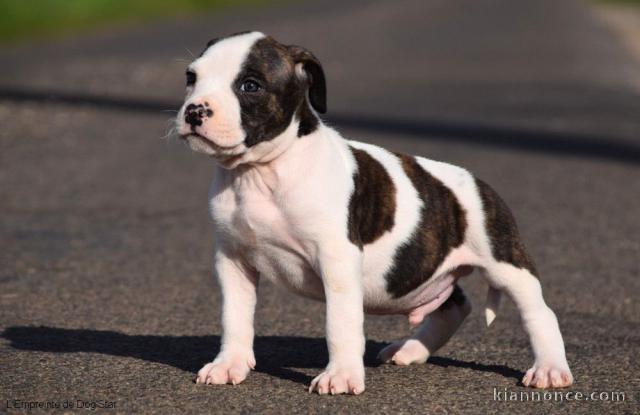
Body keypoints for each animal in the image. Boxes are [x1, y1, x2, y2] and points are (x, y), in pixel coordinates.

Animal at [175, 30, 576, 394]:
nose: (194, 110)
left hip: (506, 263)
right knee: (455, 306)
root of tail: (479, 183)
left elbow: (340, 324)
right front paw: (229, 364)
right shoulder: (233, 260)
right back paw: (411, 350)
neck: (261, 172)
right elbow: (235, 317)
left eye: (250, 85)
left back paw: (550, 369)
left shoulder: (336, 260)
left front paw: (340, 376)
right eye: (191, 78)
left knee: (539, 314)